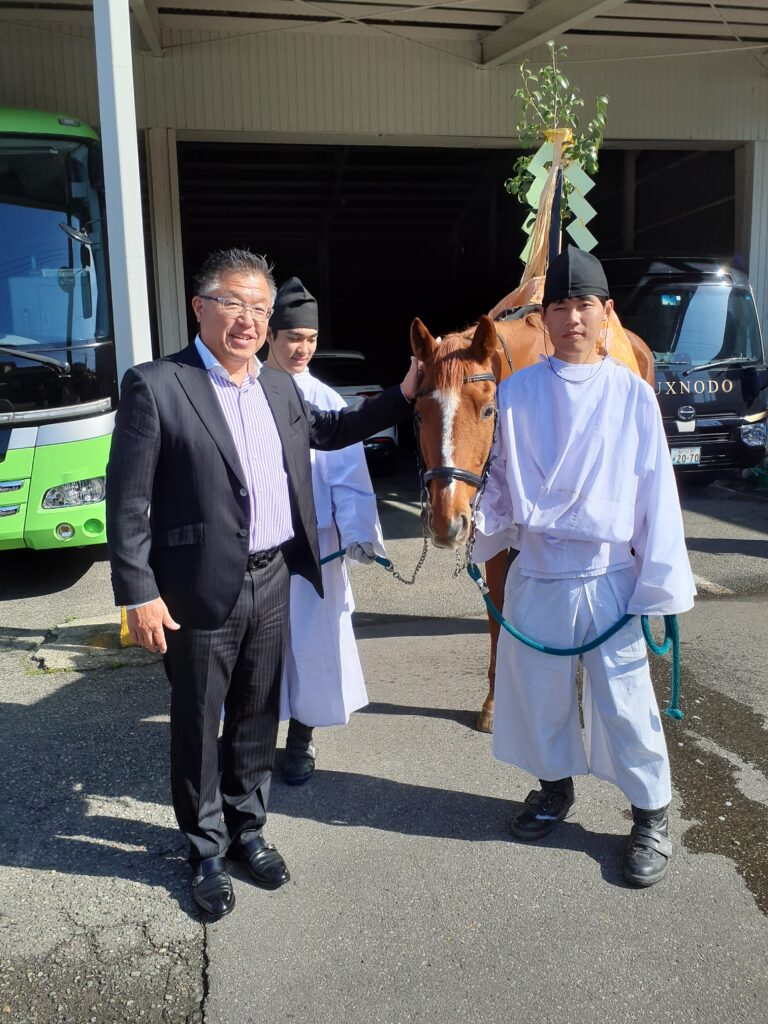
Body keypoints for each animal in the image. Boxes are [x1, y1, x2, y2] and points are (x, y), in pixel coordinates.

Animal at [411, 307, 651, 733]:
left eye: (488, 410)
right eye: (420, 414)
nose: (447, 522)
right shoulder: (493, 536)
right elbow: (498, 609)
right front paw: (494, 703)